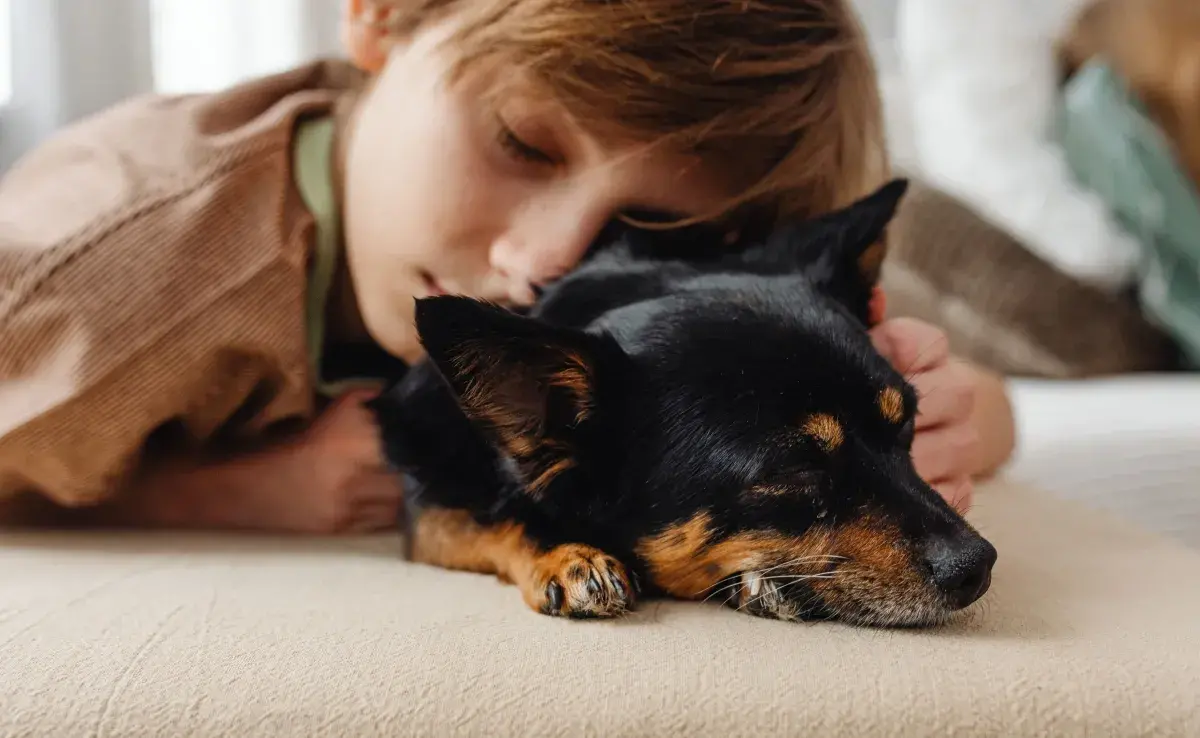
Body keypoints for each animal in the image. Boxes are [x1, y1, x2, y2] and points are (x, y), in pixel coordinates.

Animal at [372, 180, 993, 628]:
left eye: (908, 425)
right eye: (795, 469)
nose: (979, 566)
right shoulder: (430, 501)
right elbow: (496, 516)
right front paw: (568, 554)